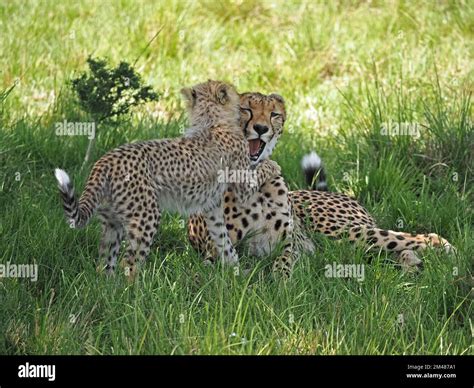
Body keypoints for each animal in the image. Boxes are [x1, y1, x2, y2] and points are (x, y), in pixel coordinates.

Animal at [54, 79, 282, 278]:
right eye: (246, 108)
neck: (211, 121)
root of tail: (105, 160)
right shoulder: (241, 184)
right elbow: (257, 174)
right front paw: (272, 165)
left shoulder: (212, 208)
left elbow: (223, 239)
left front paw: (236, 270)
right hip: (146, 216)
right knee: (129, 262)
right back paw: (135, 292)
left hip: (112, 220)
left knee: (105, 261)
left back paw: (109, 288)